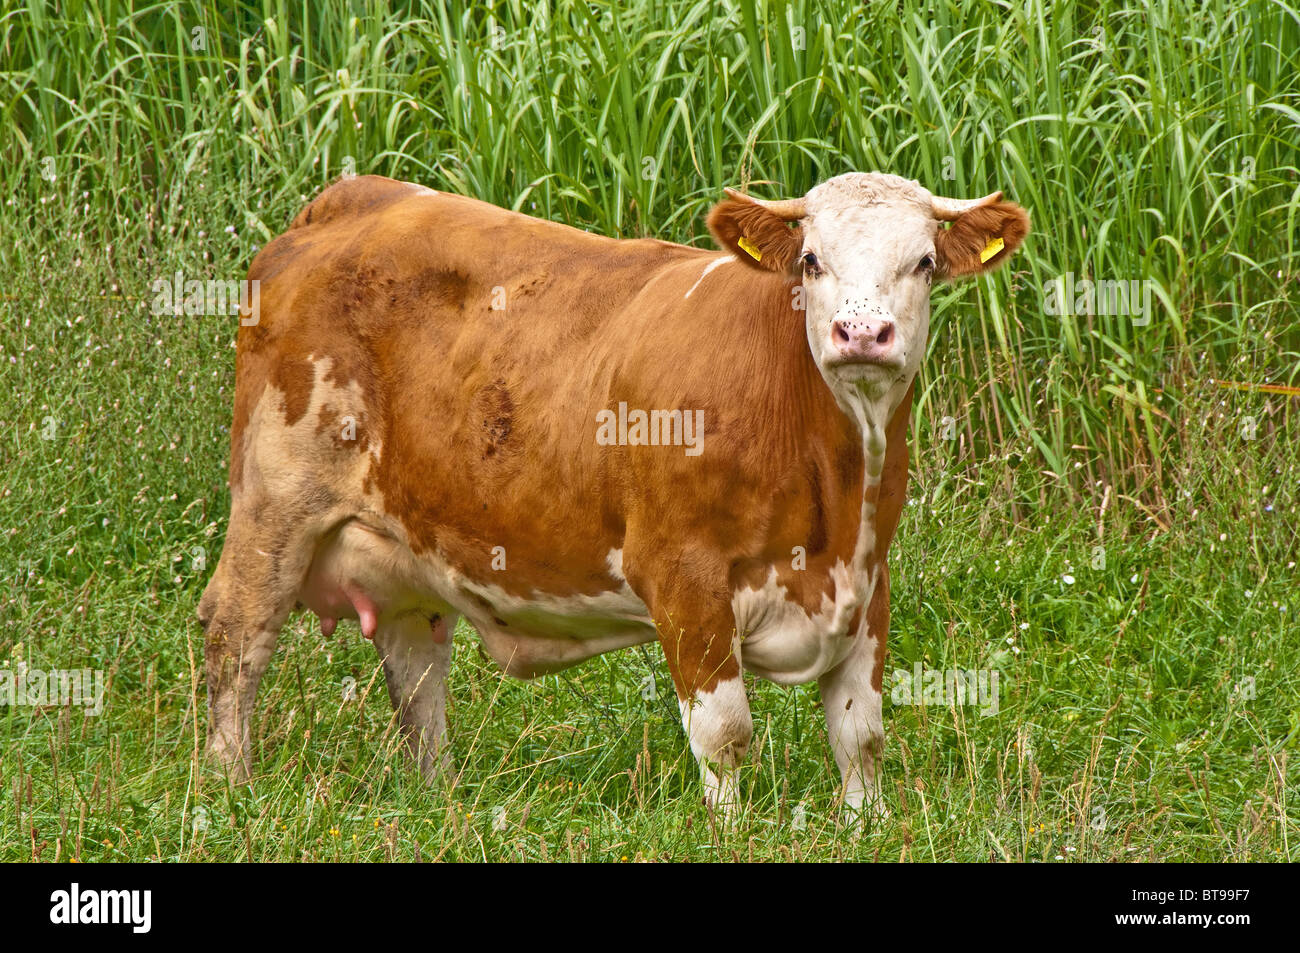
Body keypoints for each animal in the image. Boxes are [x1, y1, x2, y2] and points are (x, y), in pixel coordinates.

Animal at [198, 171, 1028, 818]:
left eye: (923, 262)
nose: (863, 332)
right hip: (274, 504)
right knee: (236, 636)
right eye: (812, 261)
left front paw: (863, 828)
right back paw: (232, 788)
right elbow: (725, 734)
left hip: (406, 544)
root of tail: (350, 198)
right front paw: (733, 832)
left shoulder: (868, 577)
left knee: (415, 670)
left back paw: (440, 797)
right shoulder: (683, 574)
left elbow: (862, 734)